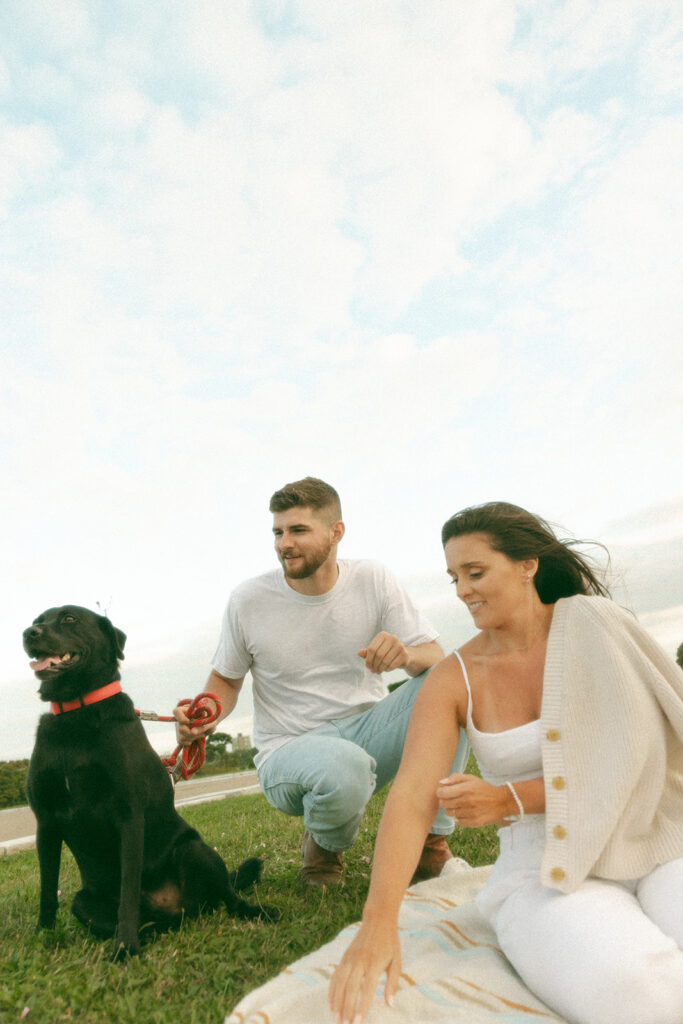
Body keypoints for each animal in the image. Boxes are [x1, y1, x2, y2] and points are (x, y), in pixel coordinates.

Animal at [24, 602, 278, 954]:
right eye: (38, 621)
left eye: (69, 618)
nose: (28, 633)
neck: (77, 713)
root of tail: (176, 908)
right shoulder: (46, 821)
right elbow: (48, 889)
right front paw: (42, 936)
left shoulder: (129, 816)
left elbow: (128, 891)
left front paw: (124, 948)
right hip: (82, 901)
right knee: (153, 924)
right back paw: (149, 933)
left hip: (195, 849)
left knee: (228, 895)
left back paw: (255, 911)